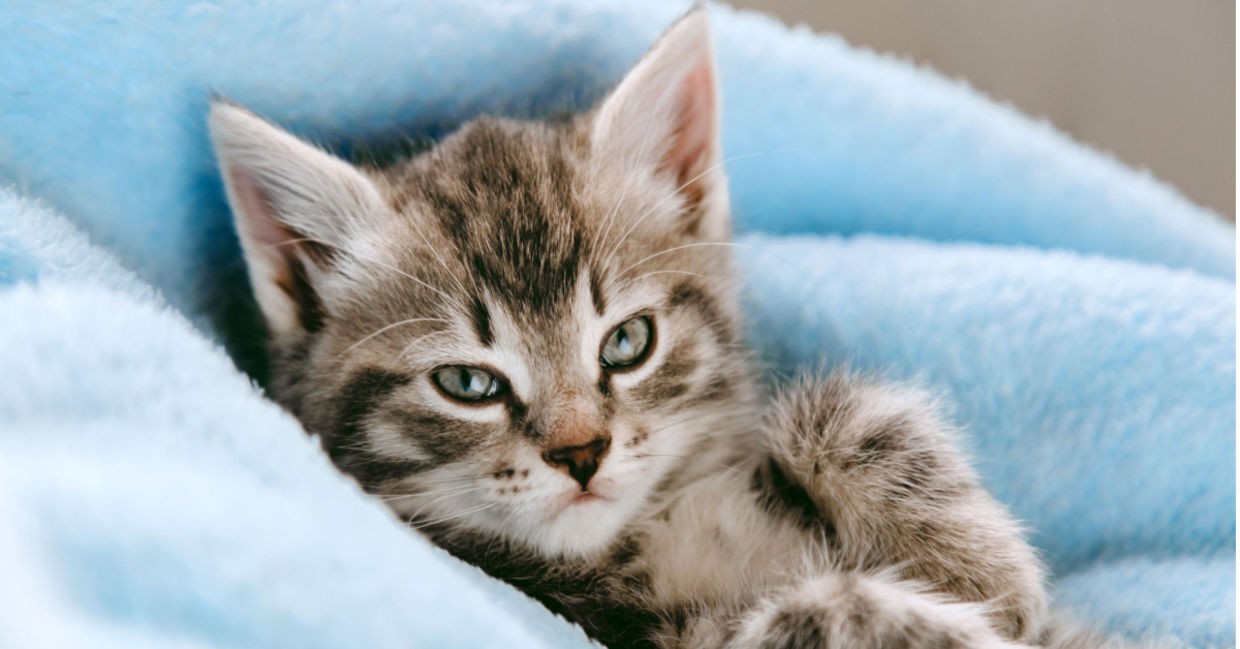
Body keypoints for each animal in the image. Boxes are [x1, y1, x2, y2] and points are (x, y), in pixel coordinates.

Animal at [205, 10, 1076, 649]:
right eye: (468, 383)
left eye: (627, 342)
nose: (581, 452)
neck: (647, 531)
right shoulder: (653, 636)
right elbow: (814, 613)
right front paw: (945, 619)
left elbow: (835, 414)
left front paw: (982, 567)